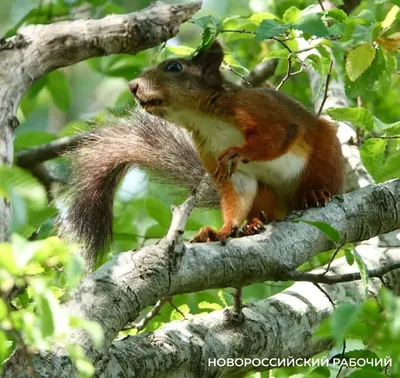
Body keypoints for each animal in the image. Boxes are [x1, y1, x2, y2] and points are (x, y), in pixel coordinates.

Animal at [62, 39, 344, 268]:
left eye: (174, 67)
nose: (133, 86)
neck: (202, 118)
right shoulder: (209, 150)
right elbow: (237, 192)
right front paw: (221, 231)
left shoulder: (255, 108)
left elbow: (280, 134)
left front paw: (238, 151)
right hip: (267, 193)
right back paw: (254, 223)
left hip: (326, 153)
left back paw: (315, 193)